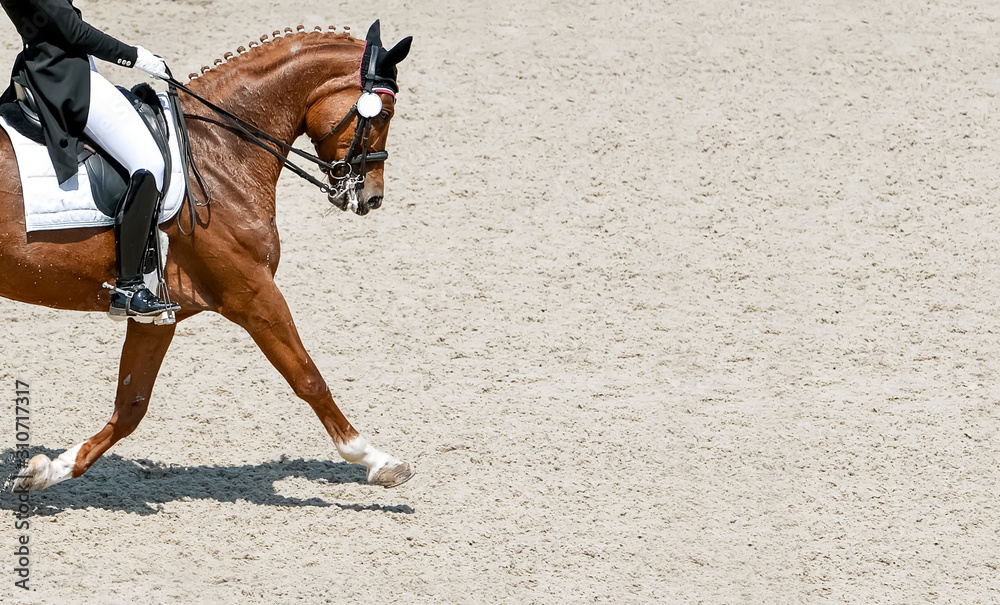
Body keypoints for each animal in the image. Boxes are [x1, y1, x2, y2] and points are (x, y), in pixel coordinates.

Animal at [0, 22, 415, 491]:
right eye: (384, 114)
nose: (373, 197)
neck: (221, 150)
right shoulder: (253, 295)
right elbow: (309, 379)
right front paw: (376, 459)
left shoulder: (160, 312)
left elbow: (131, 406)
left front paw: (46, 471)